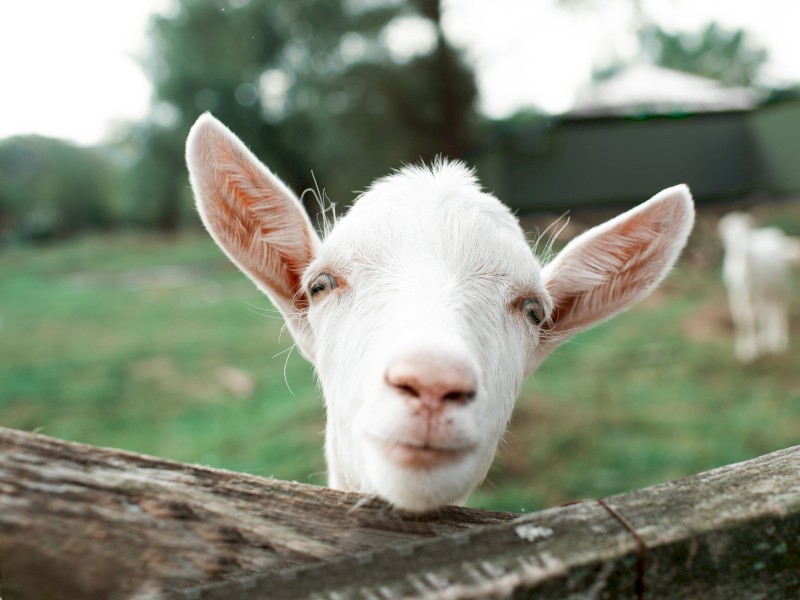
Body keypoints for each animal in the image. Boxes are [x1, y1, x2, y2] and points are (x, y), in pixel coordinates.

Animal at [718, 212, 800, 363]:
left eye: (745, 233)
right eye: (729, 238)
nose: (741, 248)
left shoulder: (757, 292)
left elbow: (754, 316)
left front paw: (754, 349)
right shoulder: (734, 293)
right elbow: (739, 317)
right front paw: (742, 350)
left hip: (782, 283)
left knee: (780, 308)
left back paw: (779, 342)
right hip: (768, 288)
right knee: (771, 308)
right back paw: (771, 340)